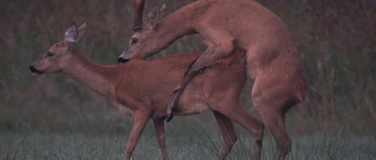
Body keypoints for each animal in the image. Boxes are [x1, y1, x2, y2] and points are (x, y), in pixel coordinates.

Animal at [27, 22, 266, 160]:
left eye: (49, 53)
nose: (32, 67)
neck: (113, 79)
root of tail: (242, 60)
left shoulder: (142, 107)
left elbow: (130, 145)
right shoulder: (158, 114)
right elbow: (162, 144)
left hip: (225, 97)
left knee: (257, 126)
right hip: (217, 105)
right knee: (230, 137)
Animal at [117, 0, 308, 159]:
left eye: (135, 39)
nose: (121, 58)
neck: (203, 12)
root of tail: (300, 92)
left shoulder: (221, 41)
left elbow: (191, 68)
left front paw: (171, 108)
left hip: (263, 100)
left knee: (282, 142)